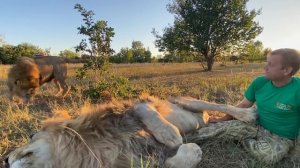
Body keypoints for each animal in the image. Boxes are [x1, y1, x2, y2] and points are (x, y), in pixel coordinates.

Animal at [4, 95, 255, 167]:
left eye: (31, 136)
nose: (4, 159)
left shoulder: (136, 105)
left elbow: (164, 129)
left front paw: (174, 137)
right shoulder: (144, 160)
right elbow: (176, 161)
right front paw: (193, 149)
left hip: (187, 101)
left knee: (219, 106)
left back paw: (249, 114)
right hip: (205, 123)